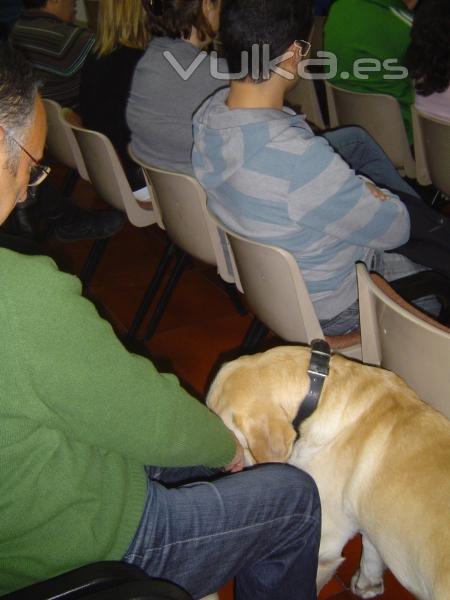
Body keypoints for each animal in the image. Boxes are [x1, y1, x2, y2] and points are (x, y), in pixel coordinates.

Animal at [207, 344, 450, 596]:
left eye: (229, 436)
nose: (219, 467)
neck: (318, 392)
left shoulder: (325, 543)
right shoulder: (371, 525)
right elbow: (371, 555)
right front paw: (367, 585)